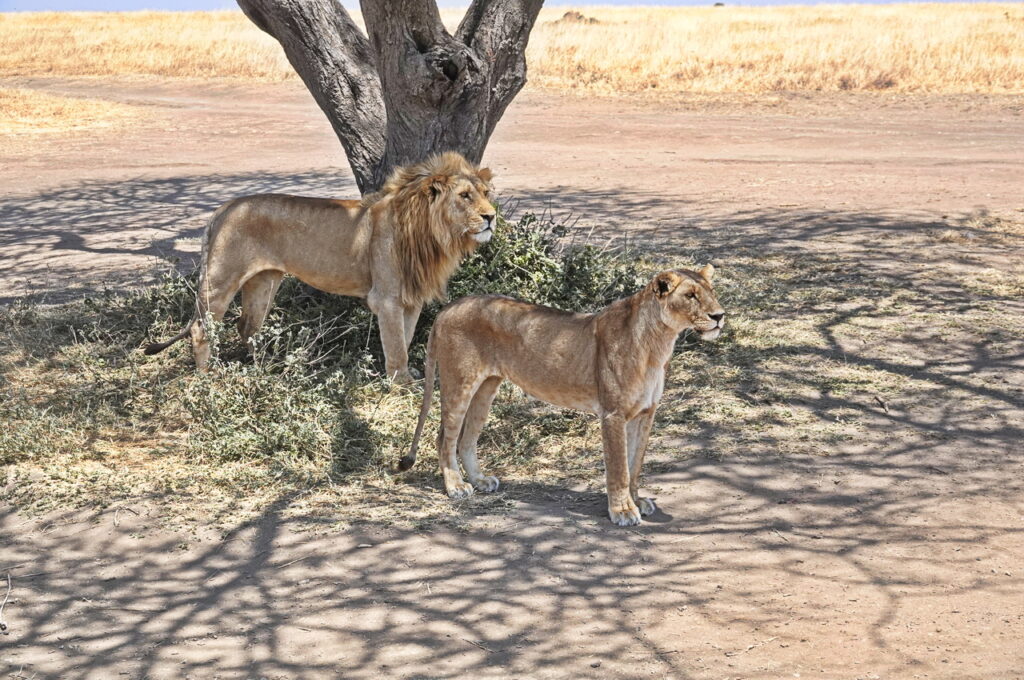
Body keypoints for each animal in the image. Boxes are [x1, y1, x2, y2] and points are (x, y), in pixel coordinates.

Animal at [143, 152, 496, 382]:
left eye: (486, 193)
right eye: (465, 196)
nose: (491, 216)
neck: (431, 233)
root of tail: (223, 208)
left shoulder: (411, 300)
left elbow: (405, 340)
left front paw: (406, 378)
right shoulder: (387, 298)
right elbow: (396, 347)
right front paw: (402, 386)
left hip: (263, 281)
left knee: (248, 326)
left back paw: (264, 370)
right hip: (221, 278)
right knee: (202, 327)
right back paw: (208, 377)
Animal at [399, 266, 725, 526]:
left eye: (712, 292)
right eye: (691, 295)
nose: (720, 315)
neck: (658, 343)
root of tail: (448, 307)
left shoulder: (645, 413)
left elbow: (635, 465)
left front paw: (637, 500)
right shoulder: (613, 414)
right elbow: (619, 468)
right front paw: (622, 511)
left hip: (486, 387)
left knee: (467, 439)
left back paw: (479, 480)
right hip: (460, 383)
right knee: (445, 438)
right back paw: (456, 486)